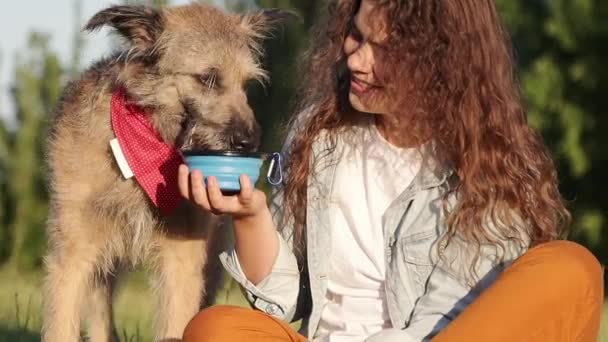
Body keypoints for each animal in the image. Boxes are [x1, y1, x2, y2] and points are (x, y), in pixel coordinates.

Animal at [43, 3, 290, 342]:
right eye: (208, 78)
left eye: (246, 84)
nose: (249, 142)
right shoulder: (73, 255)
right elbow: (61, 325)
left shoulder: (182, 260)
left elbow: (177, 319)